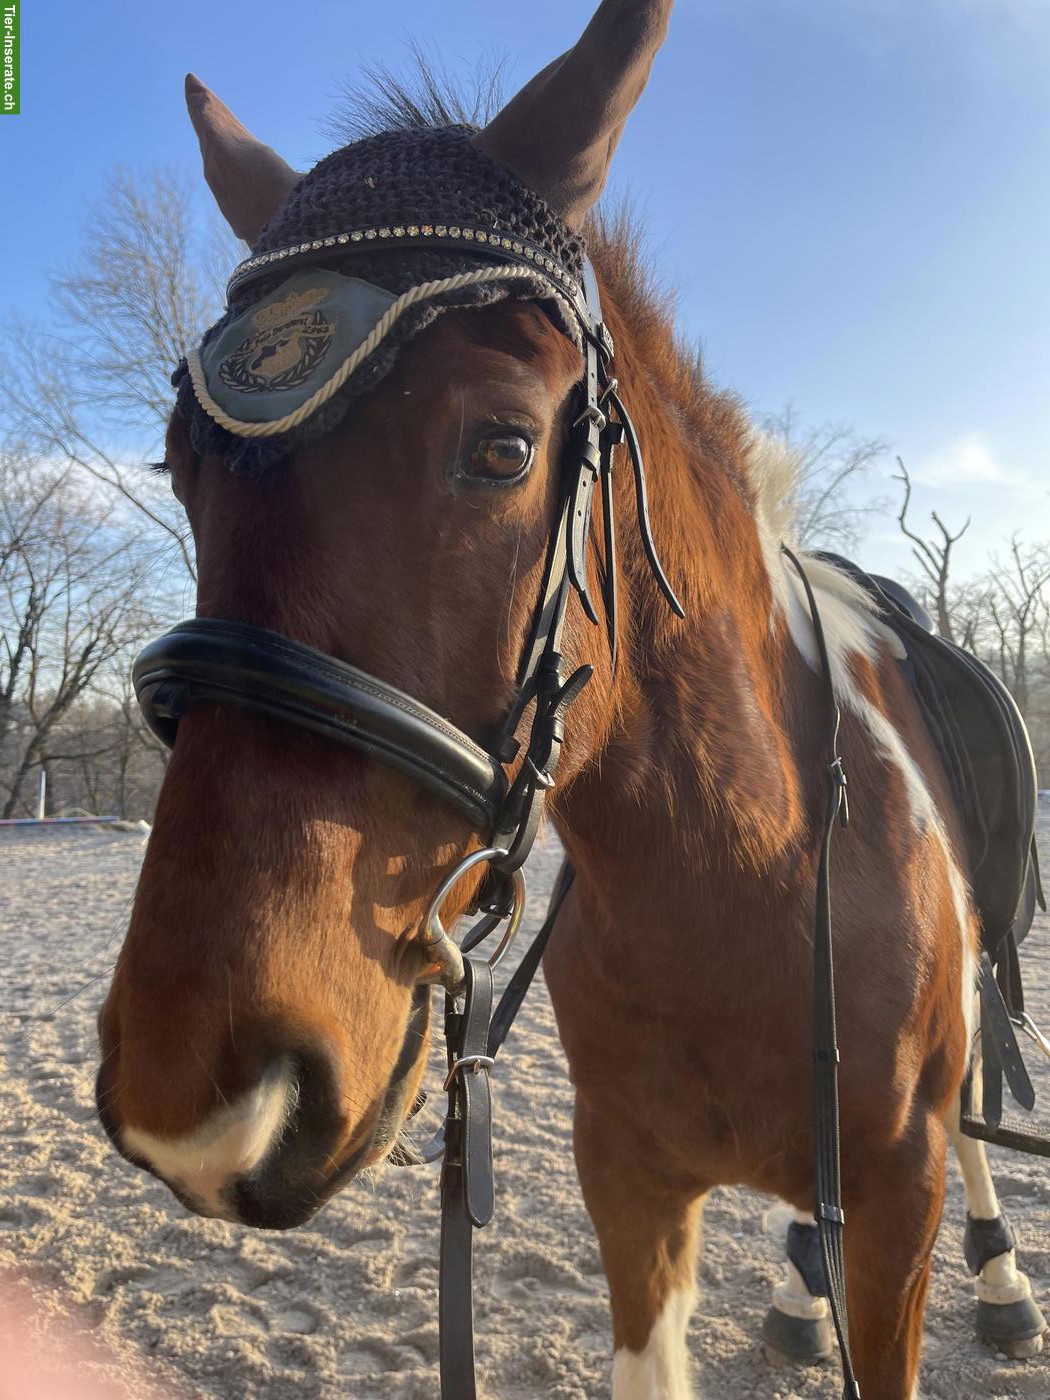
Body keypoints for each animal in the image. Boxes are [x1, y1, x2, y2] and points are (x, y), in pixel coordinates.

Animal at [93, 3, 1046, 1395]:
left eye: (503, 446)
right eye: (180, 464)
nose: (193, 1095)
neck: (734, 878)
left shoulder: (894, 1202)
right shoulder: (629, 1183)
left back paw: (1003, 1277)